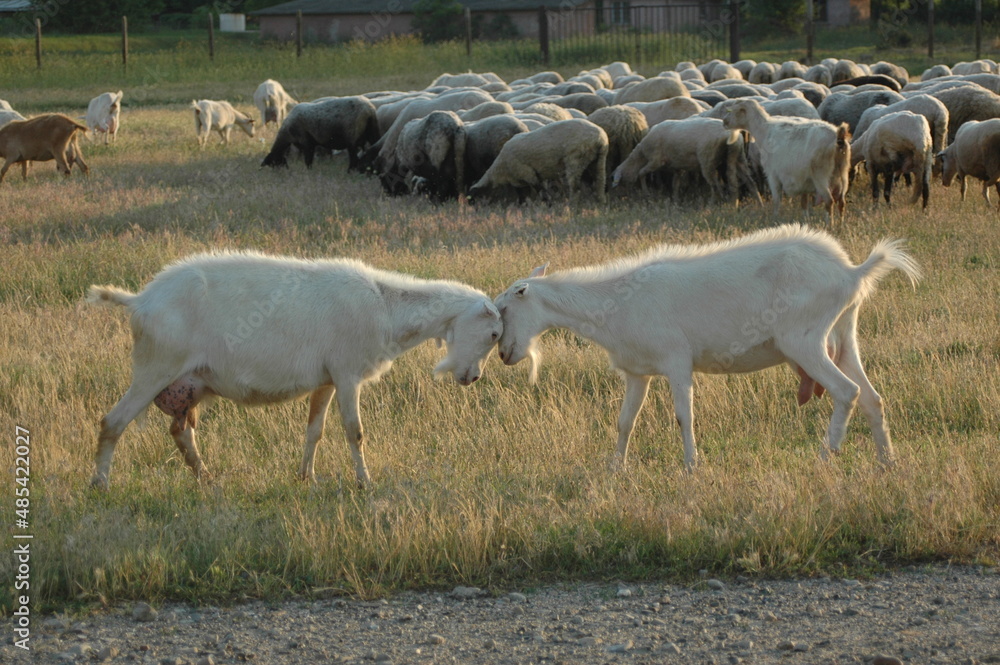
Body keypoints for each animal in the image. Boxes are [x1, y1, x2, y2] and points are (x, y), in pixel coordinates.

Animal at [86, 252, 503, 489]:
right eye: (494, 334)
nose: (474, 379)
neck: (387, 307)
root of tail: (140, 300)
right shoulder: (347, 374)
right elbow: (355, 433)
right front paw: (365, 482)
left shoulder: (327, 380)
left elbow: (314, 431)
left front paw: (306, 478)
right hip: (155, 368)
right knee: (113, 423)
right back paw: (100, 485)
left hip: (190, 384)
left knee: (181, 432)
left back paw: (207, 479)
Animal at [493, 224, 920, 471]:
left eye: (505, 308)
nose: (502, 355)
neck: (617, 302)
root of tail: (851, 273)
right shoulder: (638, 372)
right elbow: (625, 421)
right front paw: (616, 469)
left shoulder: (676, 361)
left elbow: (684, 416)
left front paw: (691, 466)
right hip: (844, 336)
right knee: (873, 398)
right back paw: (888, 463)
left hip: (804, 339)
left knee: (847, 392)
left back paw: (825, 458)